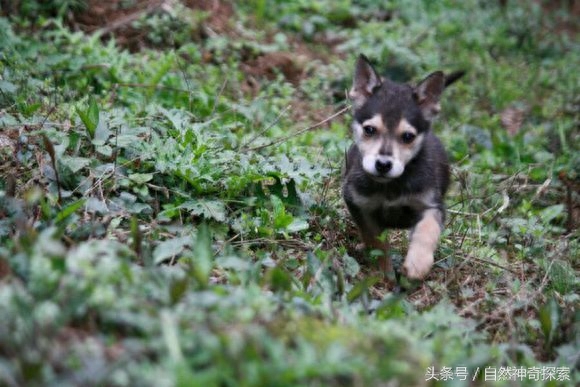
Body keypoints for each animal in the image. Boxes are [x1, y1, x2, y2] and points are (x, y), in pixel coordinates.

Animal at [344, 53, 462, 278]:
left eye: (408, 136)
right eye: (369, 130)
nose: (383, 165)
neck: (391, 186)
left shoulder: (432, 206)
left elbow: (427, 230)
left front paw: (418, 263)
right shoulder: (360, 206)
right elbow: (376, 243)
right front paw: (385, 273)